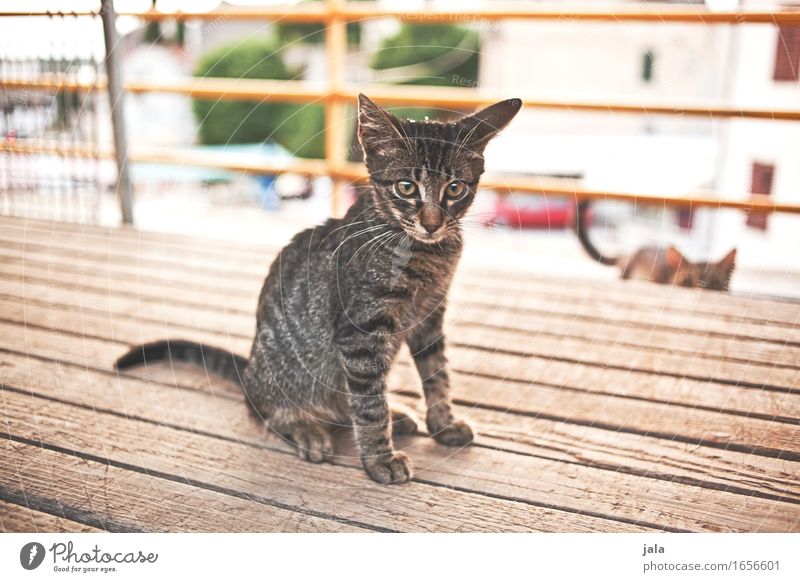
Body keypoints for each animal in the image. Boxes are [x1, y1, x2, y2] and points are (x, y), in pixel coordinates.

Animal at [115, 94, 520, 484]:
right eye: (406, 187)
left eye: (455, 188)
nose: (433, 224)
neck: (425, 254)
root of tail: (249, 374)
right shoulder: (360, 334)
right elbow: (370, 405)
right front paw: (380, 458)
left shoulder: (430, 316)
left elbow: (437, 374)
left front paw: (443, 424)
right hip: (281, 373)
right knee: (266, 411)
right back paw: (304, 427)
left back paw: (397, 414)